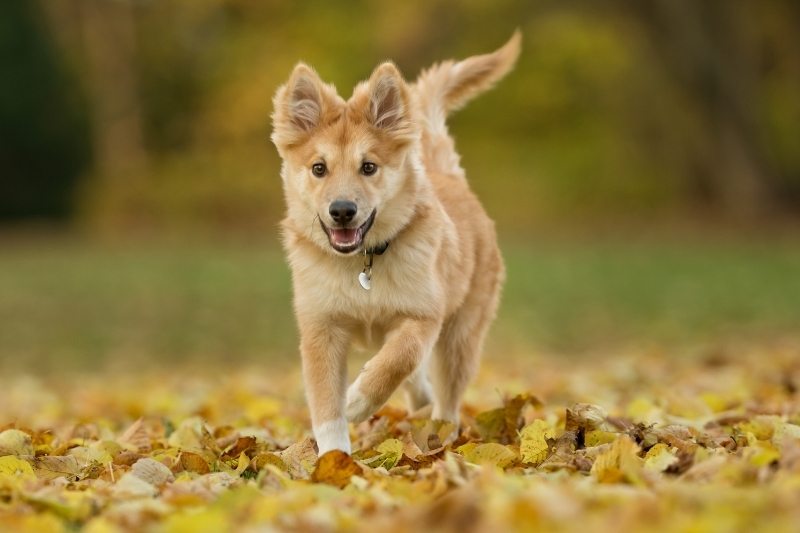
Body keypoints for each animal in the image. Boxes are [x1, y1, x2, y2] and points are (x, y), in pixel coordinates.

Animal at [270, 32, 520, 454]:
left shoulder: (424, 314)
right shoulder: (321, 328)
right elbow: (325, 404)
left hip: (461, 335)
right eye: (319, 168)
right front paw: (333, 458)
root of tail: (449, 176)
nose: (342, 211)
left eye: (368, 167)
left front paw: (357, 400)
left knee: (446, 395)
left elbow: (400, 358)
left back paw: (440, 433)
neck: (361, 265)